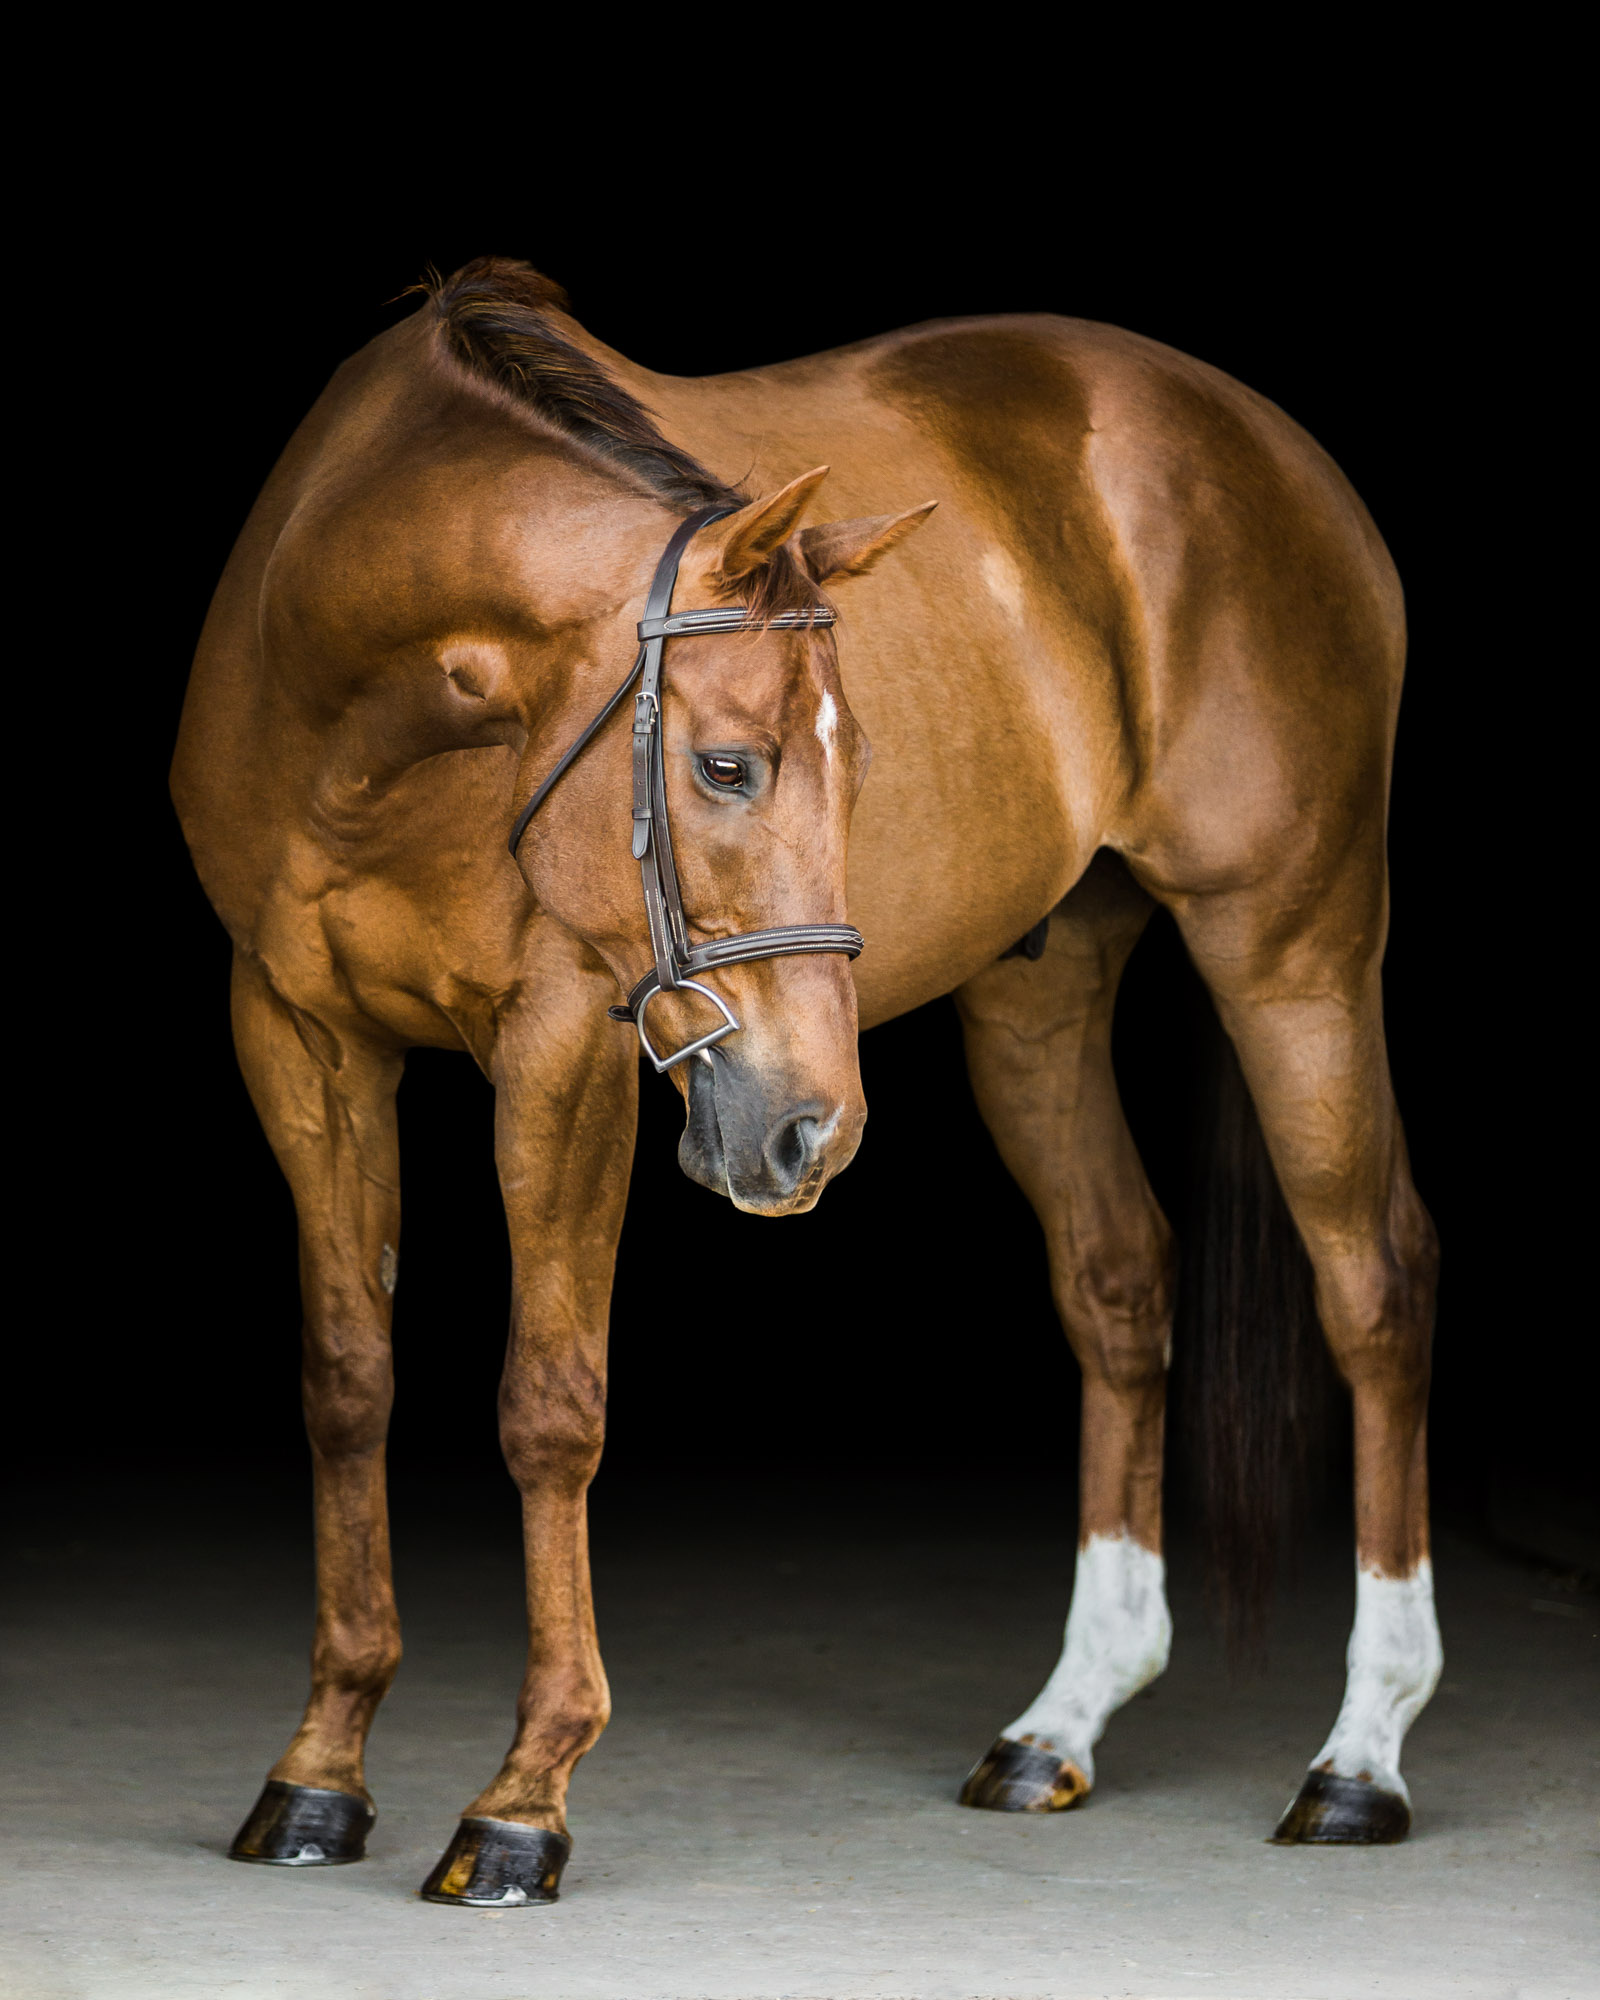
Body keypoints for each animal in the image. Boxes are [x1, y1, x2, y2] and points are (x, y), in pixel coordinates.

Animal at [172, 254, 1440, 1904]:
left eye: (858, 764)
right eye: (727, 766)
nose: (810, 1132)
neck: (360, 716)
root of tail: (1267, 443)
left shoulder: (563, 1044)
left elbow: (549, 1405)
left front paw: (523, 1800)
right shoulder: (298, 1036)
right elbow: (345, 1383)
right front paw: (318, 1774)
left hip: (1293, 948)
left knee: (1377, 1285)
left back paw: (1361, 1756)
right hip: (1038, 991)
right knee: (1117, 1282)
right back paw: (1061, 1723)